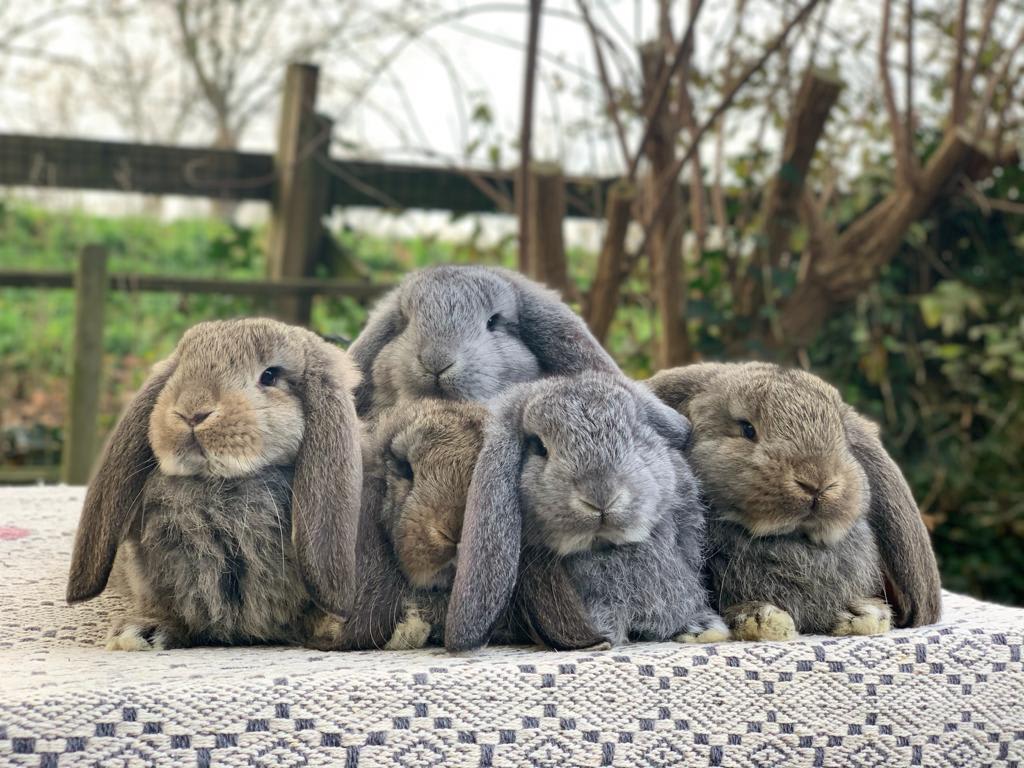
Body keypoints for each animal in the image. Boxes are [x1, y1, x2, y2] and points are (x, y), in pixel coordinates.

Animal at [446, 372, 729, 655]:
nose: (601, 496)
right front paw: (601, 640)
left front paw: (701, 630)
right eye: (539, 447)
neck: (604, 548)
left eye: (634, 434)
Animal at [647, 364, 942, 638]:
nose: (816, 482)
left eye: (844, 437)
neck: (788, 539)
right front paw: (762, 620)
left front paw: (860, 614)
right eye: (747, 428)